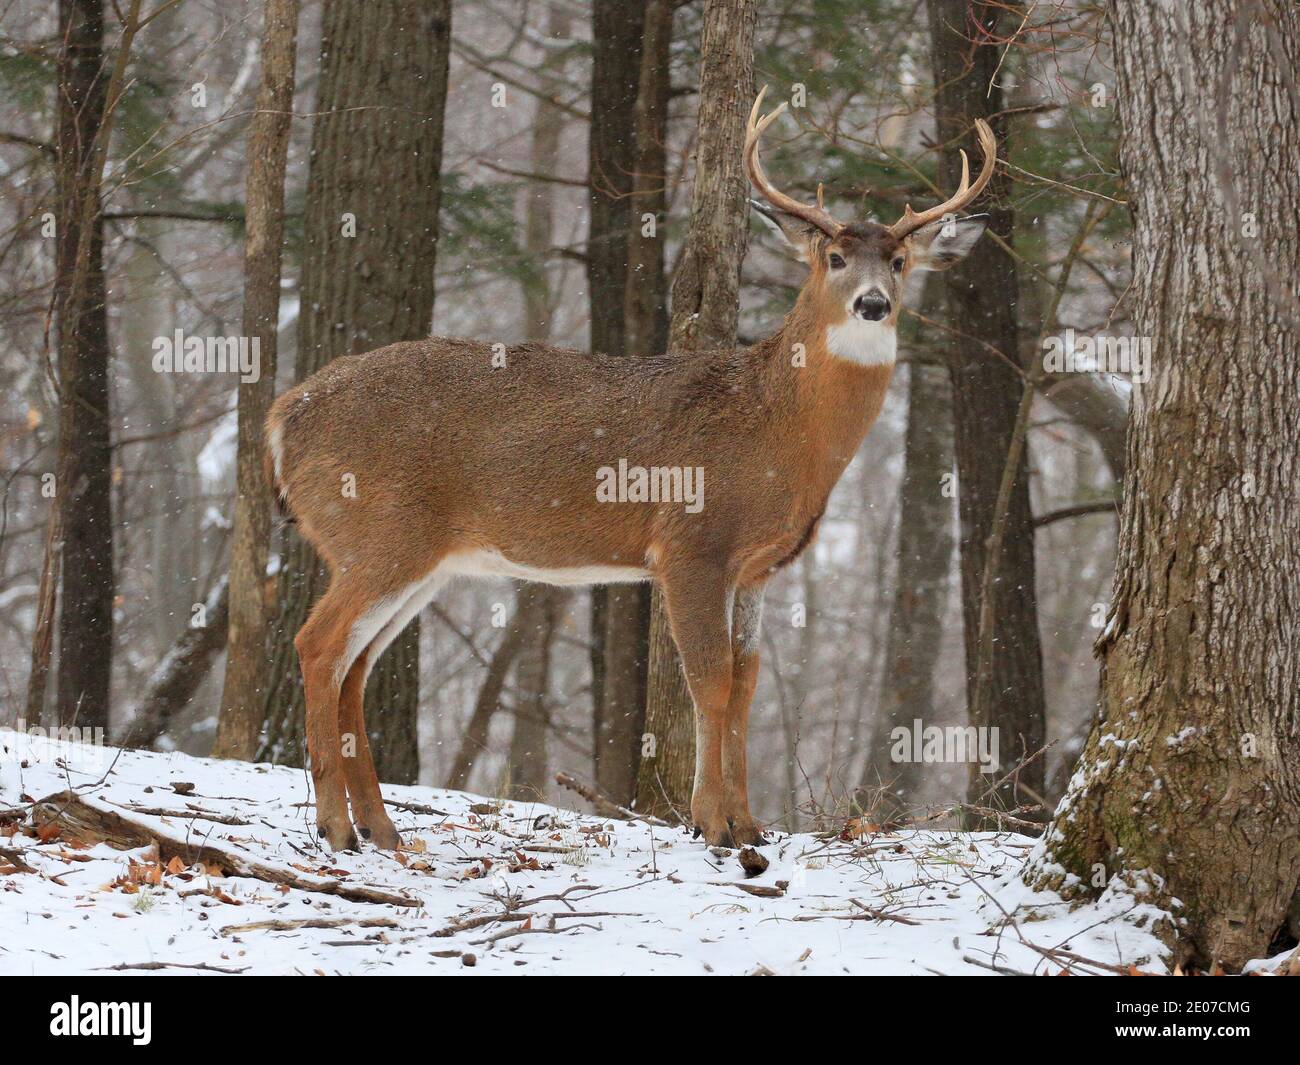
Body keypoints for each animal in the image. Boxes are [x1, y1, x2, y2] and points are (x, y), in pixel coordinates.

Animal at [267, 88, 997, 852]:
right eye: (833, 256)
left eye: (901, 261)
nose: (873, 304)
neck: (776, 431)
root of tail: (284, 414)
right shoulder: (689, 543)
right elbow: (710, 680)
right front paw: (714, 824)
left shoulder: (757, 568)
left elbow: (747, 683)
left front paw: (751, 823)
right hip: (378, 532)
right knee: (318, 645)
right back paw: (336, 826)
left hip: (418, 558)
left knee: (354, 666)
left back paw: (380, 829)